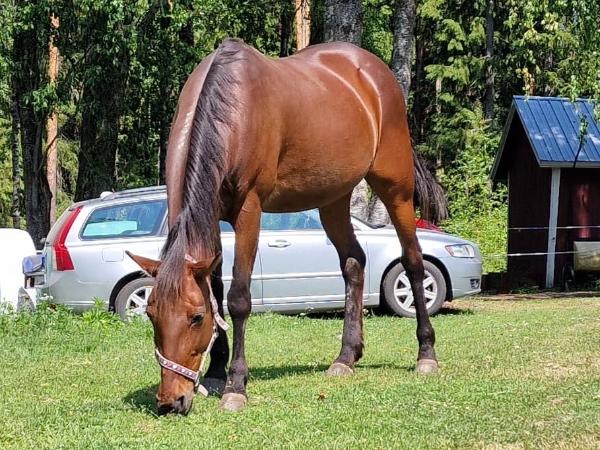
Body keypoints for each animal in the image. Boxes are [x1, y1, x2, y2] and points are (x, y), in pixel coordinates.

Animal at [127, 38, 447, 415]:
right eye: (150, 313)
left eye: (195, 317)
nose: (170, 401)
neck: (232, 109)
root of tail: (373, 72)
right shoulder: (213, 218)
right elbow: (216, 291)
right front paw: (216, 373)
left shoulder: (249, 211)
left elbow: (238, 298)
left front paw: (236, 384)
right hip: (333, 198)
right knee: (354, 263)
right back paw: (346, 357)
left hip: (395, 188)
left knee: (413, 261)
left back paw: (426, 354)